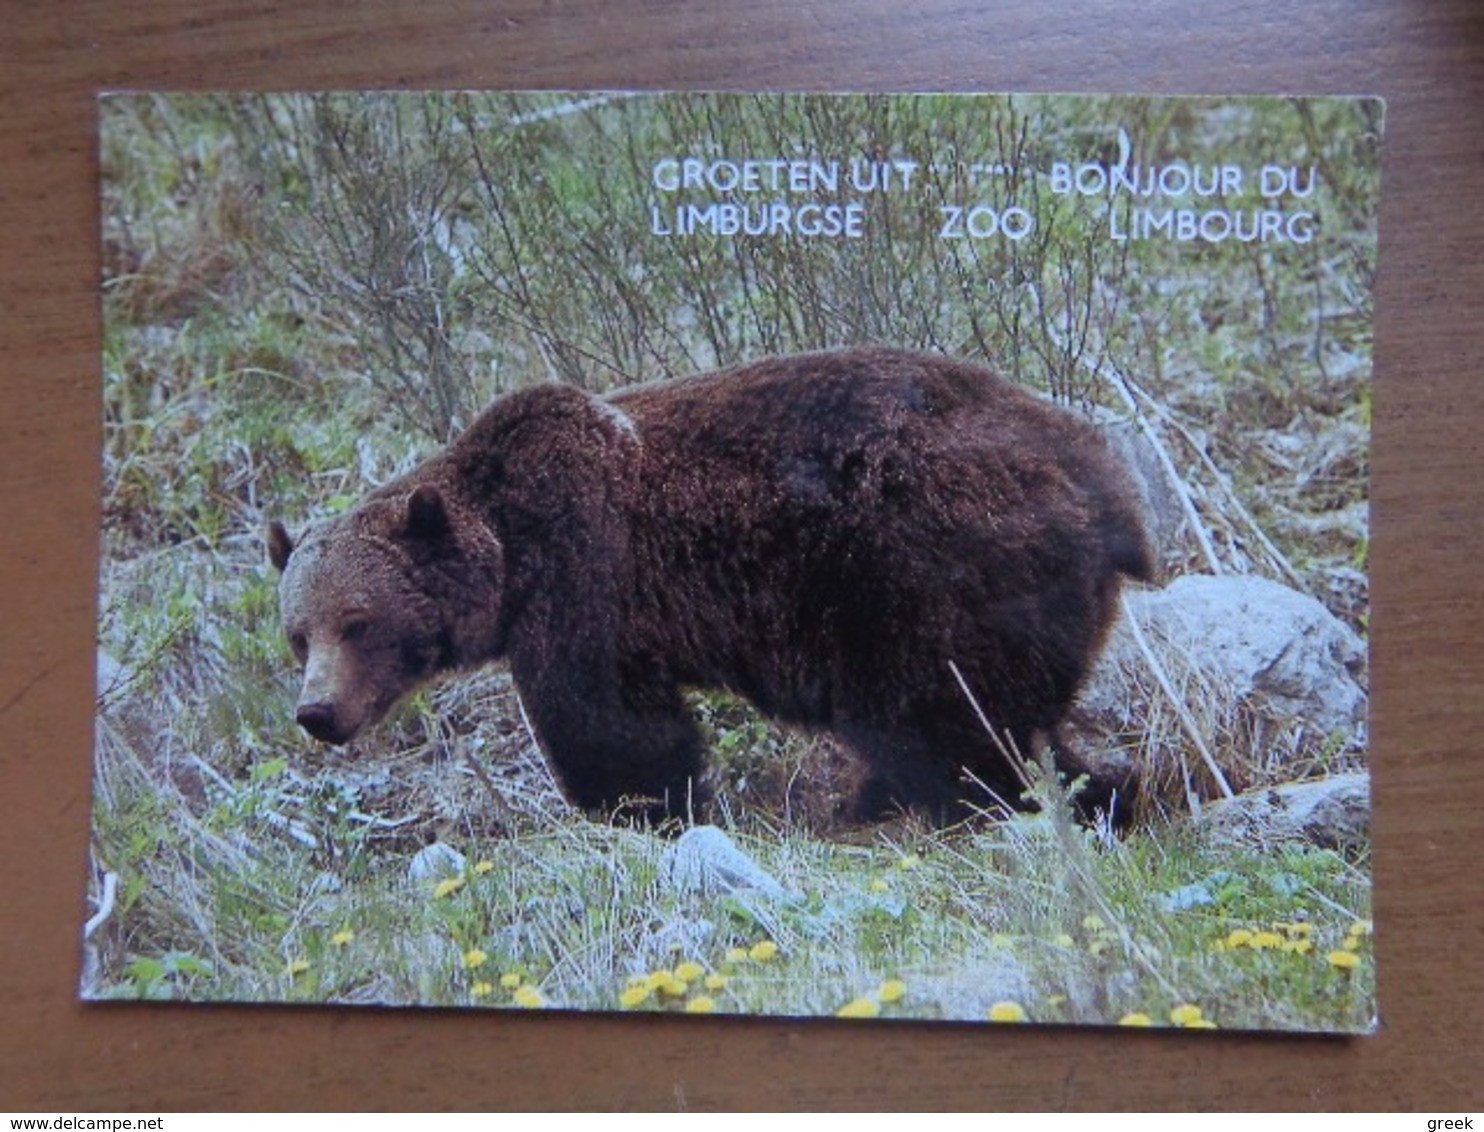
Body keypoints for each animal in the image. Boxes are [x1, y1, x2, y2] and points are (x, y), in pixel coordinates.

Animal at [267, 345, 1151, 824]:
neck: (505, 549)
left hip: (928, 566)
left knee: (947, 716)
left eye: (359, 622)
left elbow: (609, 725)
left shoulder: (587, 574)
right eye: (298, 635)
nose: (318, 712)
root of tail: (1110, 482)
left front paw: (639, 808)